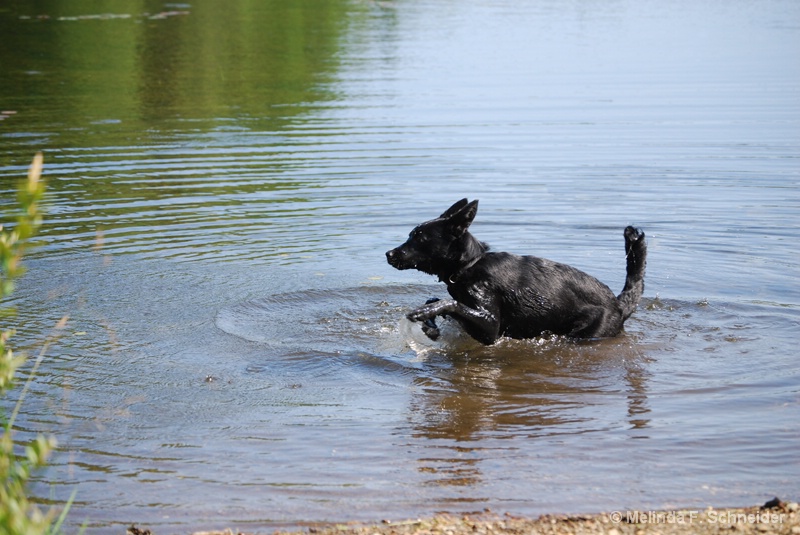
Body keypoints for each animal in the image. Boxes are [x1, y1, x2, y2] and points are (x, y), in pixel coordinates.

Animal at [384, 199, 648, 346]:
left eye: (419, 238)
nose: (389, 253)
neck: (471, 265)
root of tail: (618, 304)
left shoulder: (490, 329)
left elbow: (451, 304)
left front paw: (425, 313)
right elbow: (437, 299)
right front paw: (430, 324)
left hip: (589, 333)